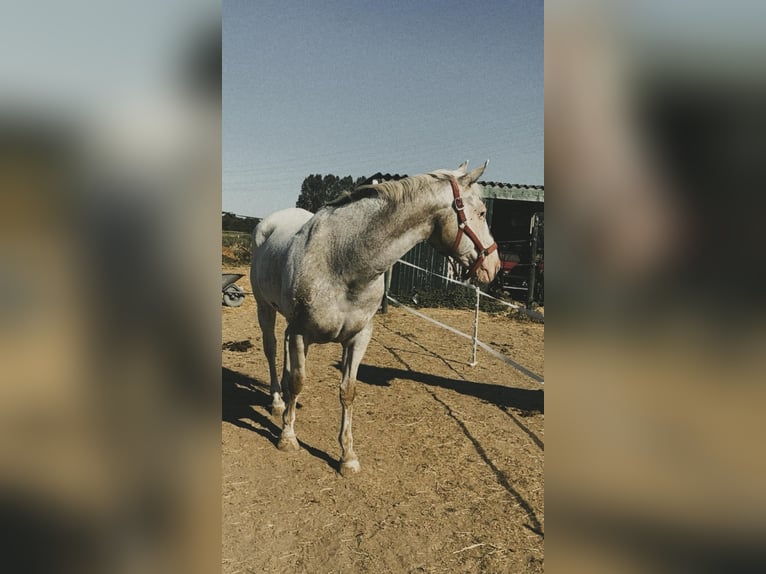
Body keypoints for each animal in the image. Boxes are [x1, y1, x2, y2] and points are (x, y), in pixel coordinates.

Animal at [249, 162, 500, 475]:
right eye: (482, 212)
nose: (494, 266)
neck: (343, 261)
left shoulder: (358, 337)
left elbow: (348, 391)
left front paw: (347, 457)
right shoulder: (300, 331)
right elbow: (298, 382)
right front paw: (287, 438)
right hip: (265, 308)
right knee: (271, 349)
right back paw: (277, 401)